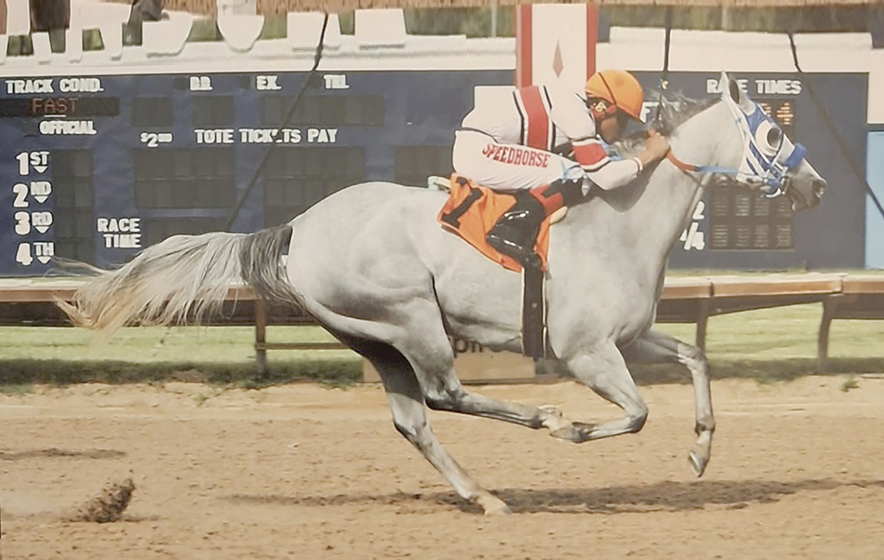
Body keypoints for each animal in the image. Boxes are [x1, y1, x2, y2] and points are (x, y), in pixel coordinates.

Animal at [58, 74, 824, 516]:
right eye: (773, 130)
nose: (815, 185)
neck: (621, 222)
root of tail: (299, 227)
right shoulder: (586, 352)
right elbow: (634, 413)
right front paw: (575, 428)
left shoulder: (629, 337)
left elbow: (696, 360)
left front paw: (700, 452)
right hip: (411, 315)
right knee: (445, 394)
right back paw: (542, 420)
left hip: (371, 336)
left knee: (414, 419)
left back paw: (481, 494)